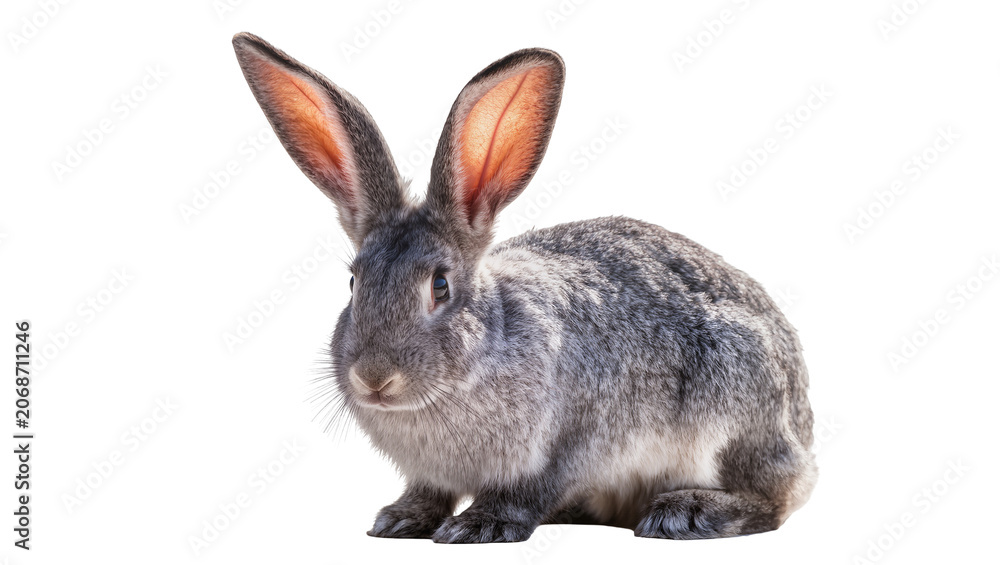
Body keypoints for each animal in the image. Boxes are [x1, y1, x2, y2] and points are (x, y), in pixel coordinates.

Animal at [233, 32, 816, 543]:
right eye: (354, 283)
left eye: (440, 286)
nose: (374, 378)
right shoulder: (432, 473)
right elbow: (427, 493)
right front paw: (399, 520)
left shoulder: (574, 440)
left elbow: (529, 492)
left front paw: (478, 526)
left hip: (735, 403)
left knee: (774, 500)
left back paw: (685, 513)